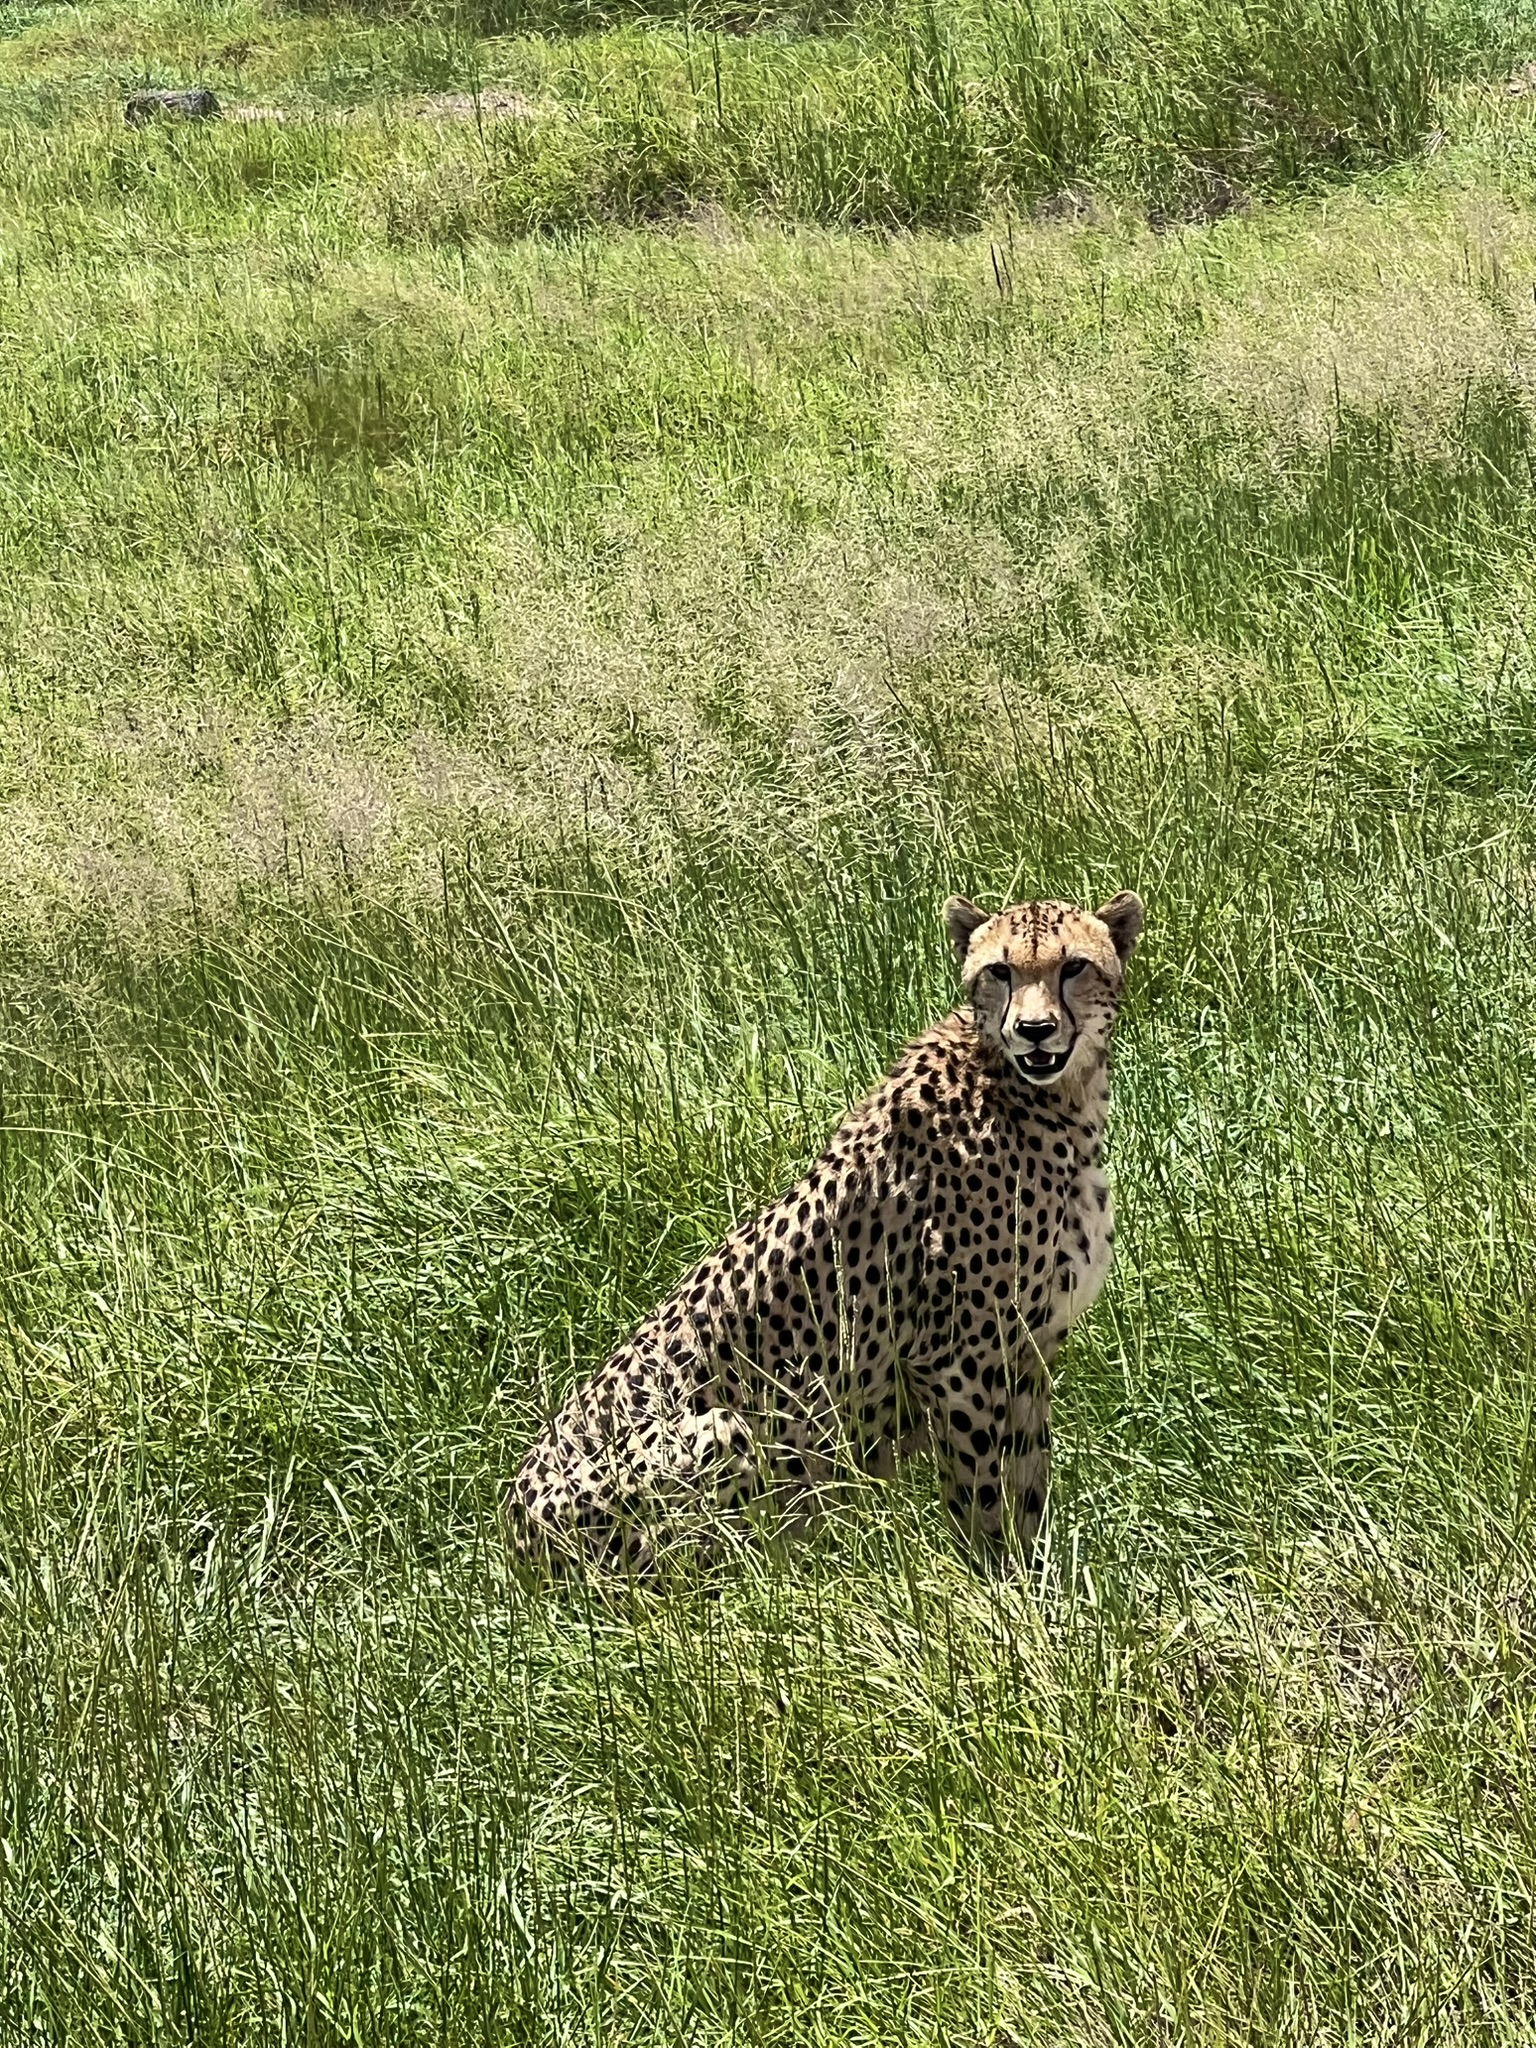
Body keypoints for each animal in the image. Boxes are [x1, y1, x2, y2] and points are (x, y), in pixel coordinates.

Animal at [506, 888, 1144, 1575]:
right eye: (999, 971)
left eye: (1074, 966)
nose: (1034, 1031)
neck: (1048, 1097)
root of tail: (512, 1531)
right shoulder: (959, 1360)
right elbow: (983, 1498)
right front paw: (997, 1585)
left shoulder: (1028, 1350)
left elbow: (1028, 1489)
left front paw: (1041, 1583)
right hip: (725, 1433)